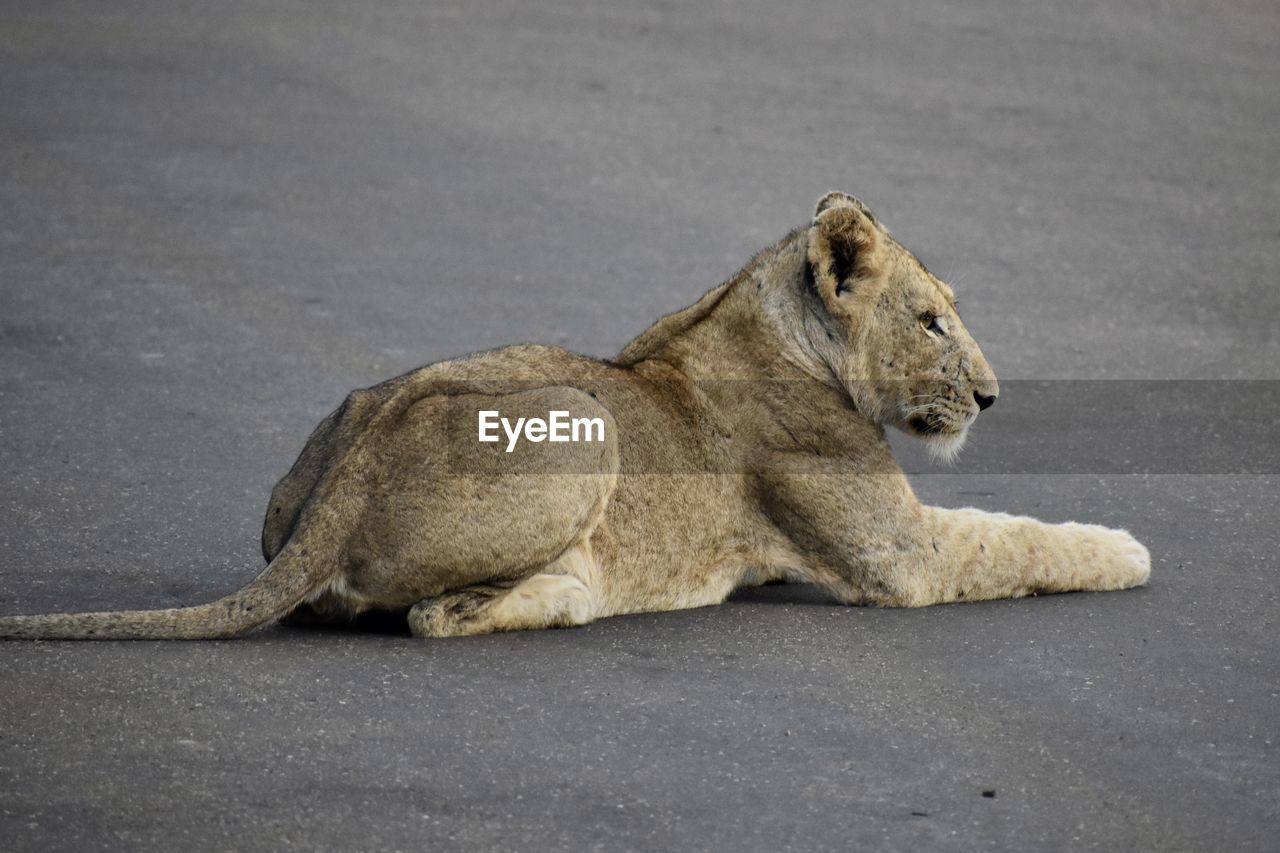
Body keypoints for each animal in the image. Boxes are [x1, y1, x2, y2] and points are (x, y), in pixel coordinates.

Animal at [0, 188, 1152, 637]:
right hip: (576, 419)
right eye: (929, 320)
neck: (775, 322)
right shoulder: (896, 559)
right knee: (429, 615)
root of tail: (346, 475)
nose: (992, 396)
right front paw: (1127, 547)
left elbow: (997, 526)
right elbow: (1014, 542)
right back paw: (572, 591)